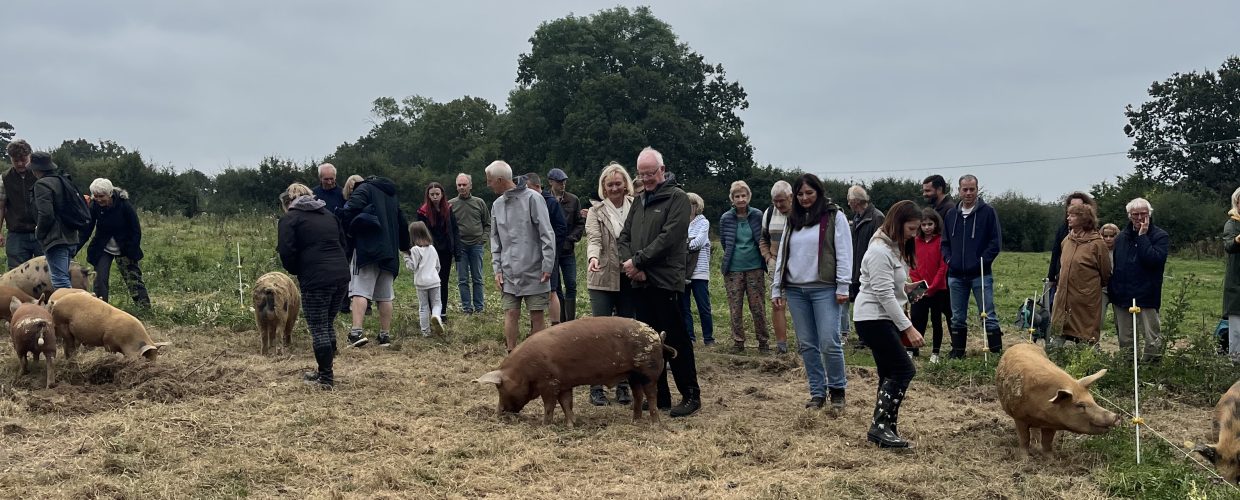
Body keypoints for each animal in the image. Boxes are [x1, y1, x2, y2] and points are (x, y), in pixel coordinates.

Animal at [471, 320, 674, 429]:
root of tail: (657, 336)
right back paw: (635, 421)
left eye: (499, 387)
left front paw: (545, 425)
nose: (498, 413)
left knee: (652, 396)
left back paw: (655, 424)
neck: (523, 370)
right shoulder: (564, 384)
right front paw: (571, 424)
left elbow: (550, 405)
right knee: (638, 396)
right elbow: (566, 403)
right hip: (633, 375)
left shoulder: (549, 383)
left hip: (648, 371)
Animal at [996, 342, 1125, 456]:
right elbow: (1024, 439)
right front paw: (1025, 459)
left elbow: (1047, 442)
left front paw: (1050, 459)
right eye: (1080, 405)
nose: (1116, 416)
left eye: (1093, 400)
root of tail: (1021, 343)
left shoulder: (1051, 424)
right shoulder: (1019, 417)